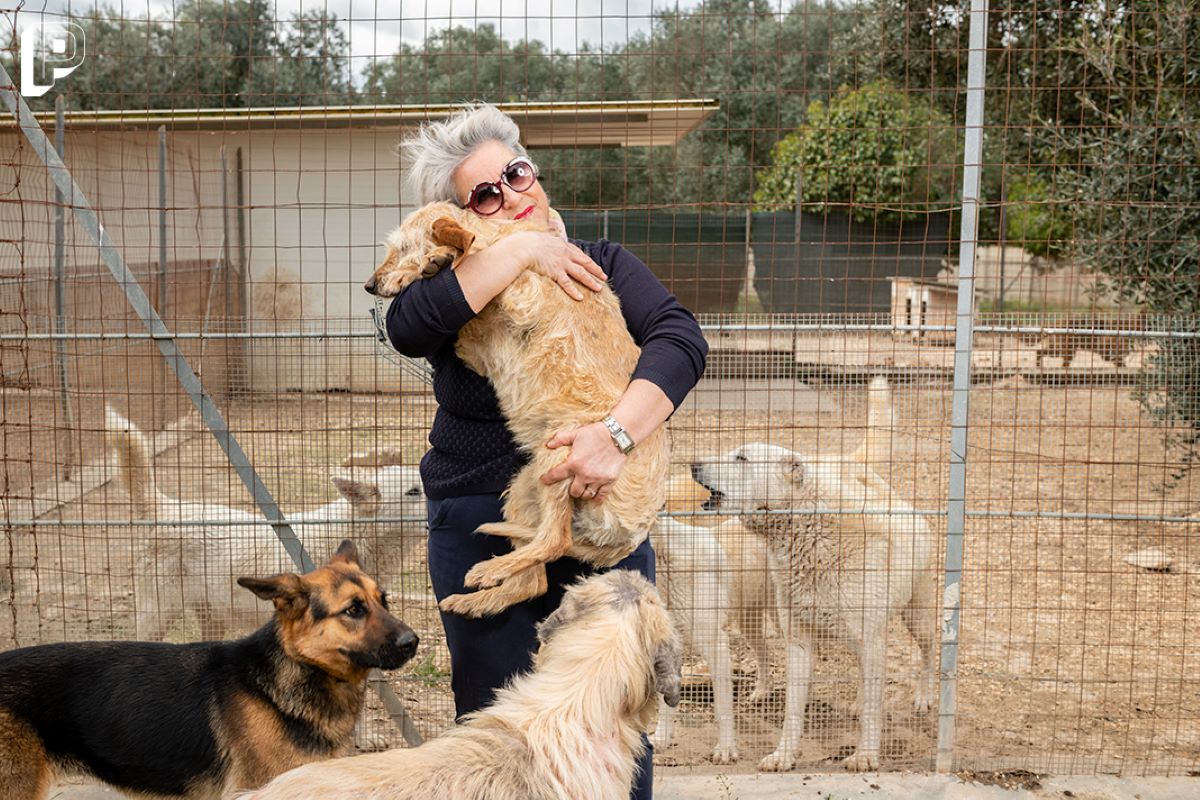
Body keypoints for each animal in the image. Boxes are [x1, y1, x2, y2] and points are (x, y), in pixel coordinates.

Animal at [696, 379, 936, 772]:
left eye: (742, 458)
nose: (693, 463)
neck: (810, 534)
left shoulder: (871, 637)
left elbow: (874, 712)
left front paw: (866, 755)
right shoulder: (799, 640)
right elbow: (793, 712)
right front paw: (783, 754)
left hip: (916, 616)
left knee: (929, 652)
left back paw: (924, 697)